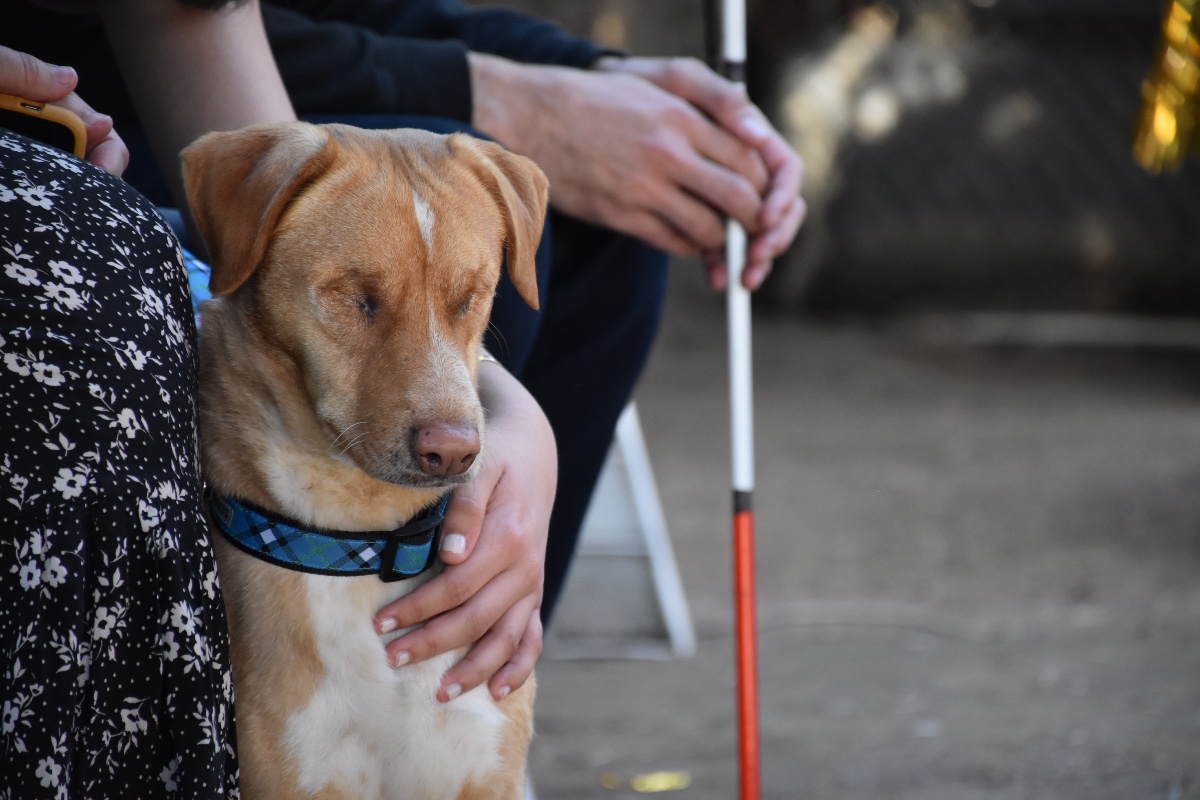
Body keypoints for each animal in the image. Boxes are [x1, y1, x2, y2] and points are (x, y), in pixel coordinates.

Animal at [180, 123, 547, 800]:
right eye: (357, 297)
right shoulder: (293, 777)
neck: (364, 545)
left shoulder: (486, 772)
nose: (453, 450)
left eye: (472, 296)